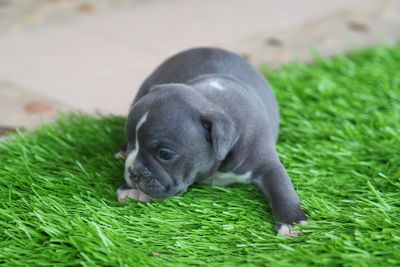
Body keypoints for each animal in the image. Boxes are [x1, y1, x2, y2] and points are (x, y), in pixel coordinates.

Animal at [115, 47, 306, 237]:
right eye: (131, 141)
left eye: (165, 154)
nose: (133, 172)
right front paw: (132, 190)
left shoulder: (266, 163)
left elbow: (281, 187)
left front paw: (292, 221)